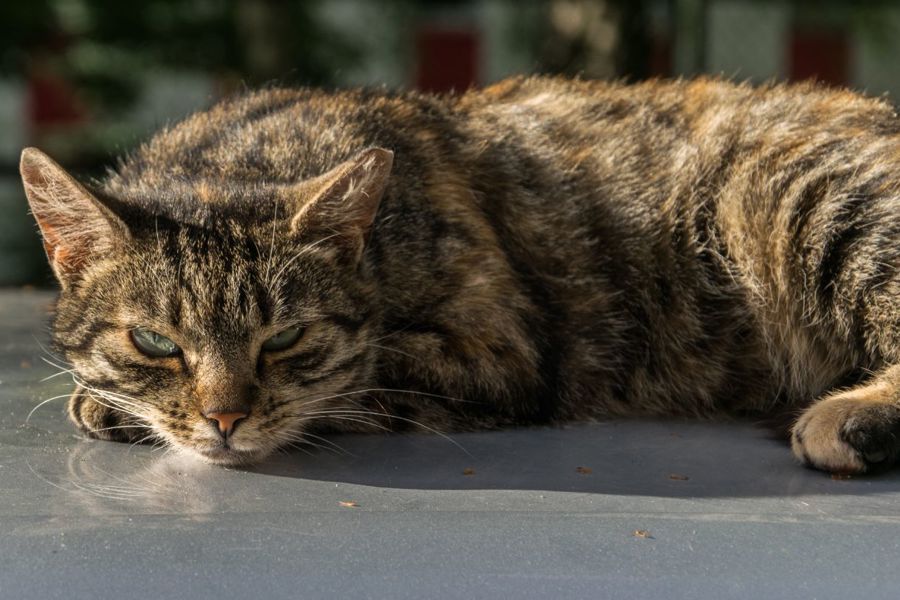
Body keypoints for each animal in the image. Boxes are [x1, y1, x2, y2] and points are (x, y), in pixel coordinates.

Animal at [21, 77, 900, 474]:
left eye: (287, 339)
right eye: (154, 341)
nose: (225, 418)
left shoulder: (498, 349)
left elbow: (364, 378)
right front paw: (110, 400)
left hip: (801, 194)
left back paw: (854, 417)